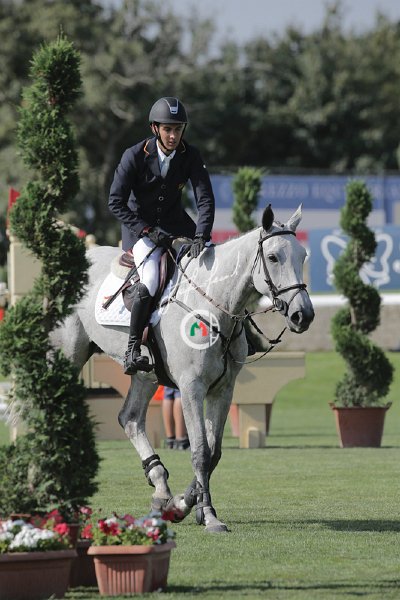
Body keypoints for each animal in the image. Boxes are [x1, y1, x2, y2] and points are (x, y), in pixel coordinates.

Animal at [51, 204, 314, 533]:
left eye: (302, 256)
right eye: (273, 257)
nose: (303, 315)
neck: (214, 307)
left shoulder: (223, 390)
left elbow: (214, 452)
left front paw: (183, 505)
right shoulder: (191, 388)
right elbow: (200, 451)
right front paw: (209, 515)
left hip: (145, 374)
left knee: (130, 419)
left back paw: (160, 490)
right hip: (69, 354)